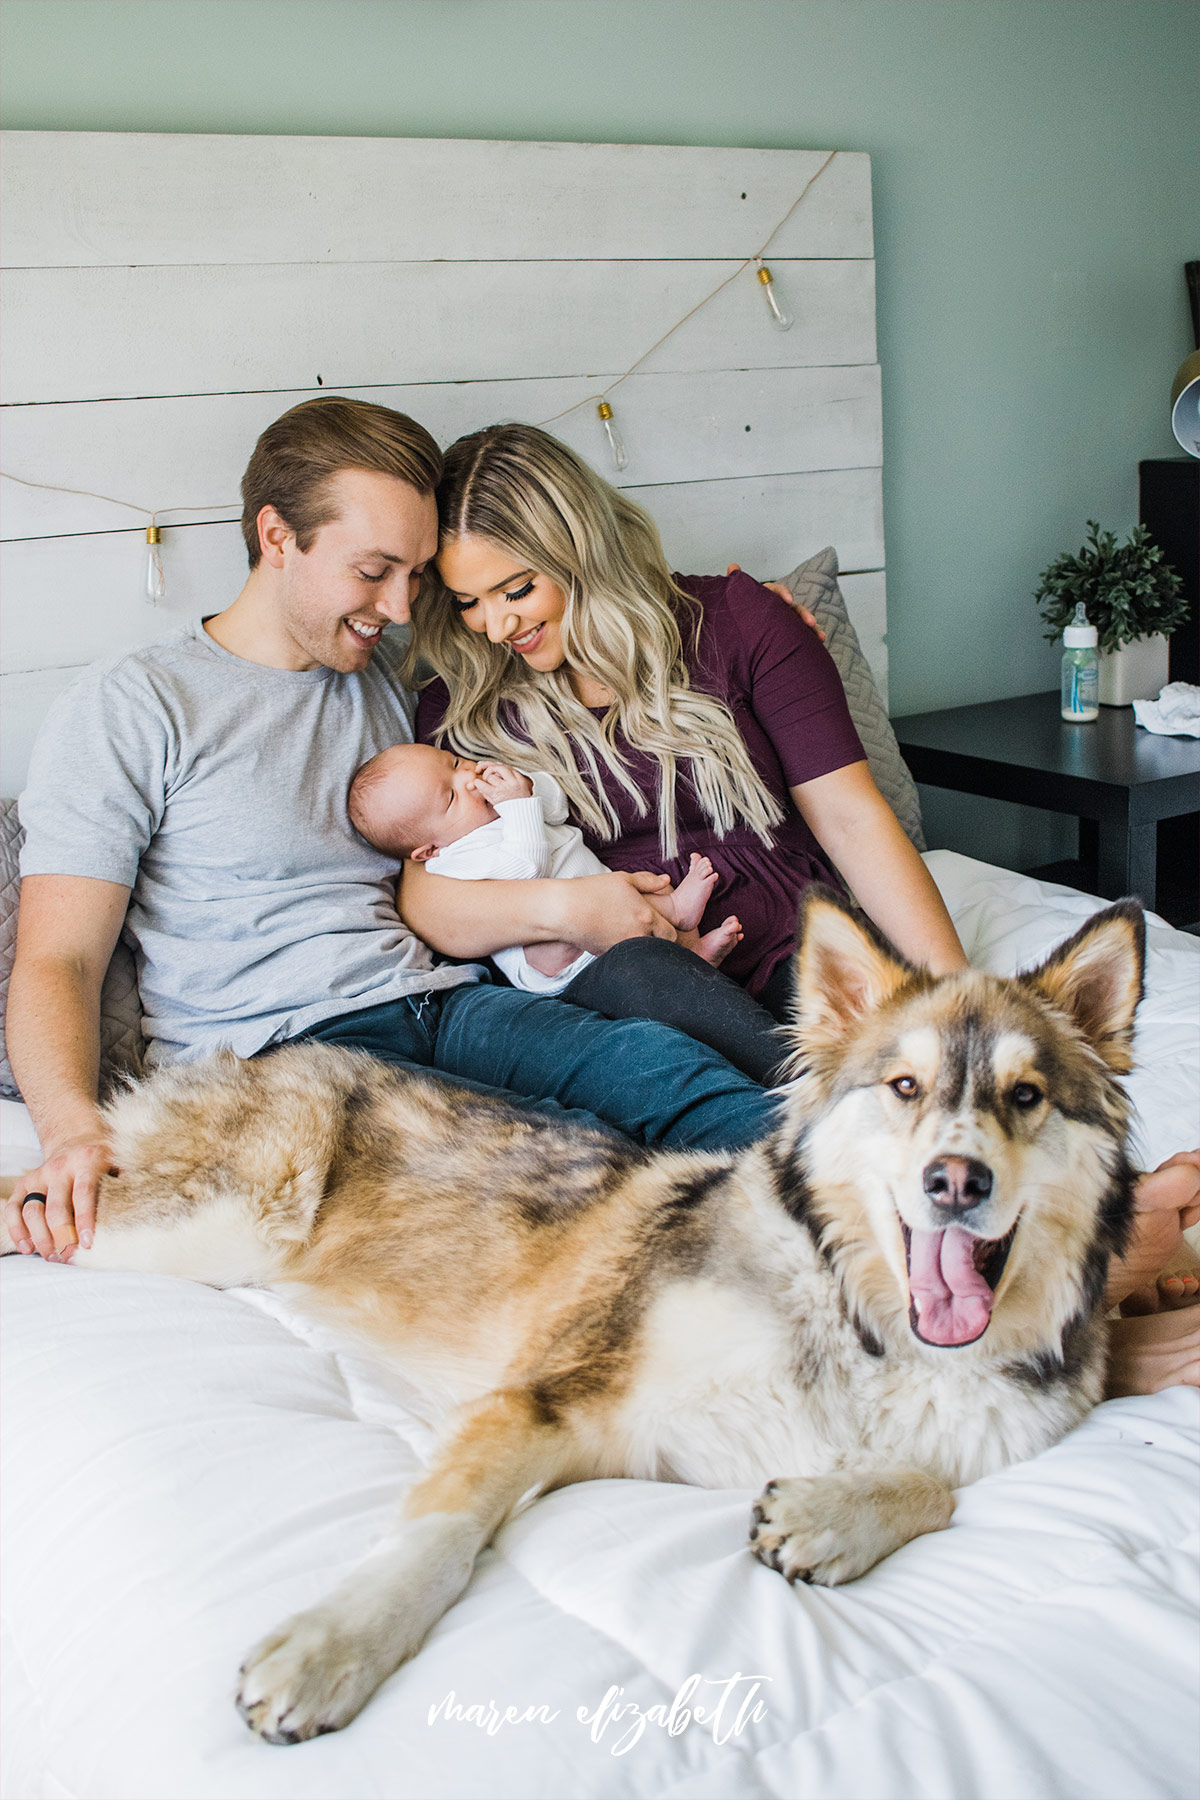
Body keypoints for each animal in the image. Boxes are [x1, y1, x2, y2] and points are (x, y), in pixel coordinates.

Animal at [0, 892, 1144, 1735]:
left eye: (1027, 1097)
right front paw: (335, 1644)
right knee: (28, 1200)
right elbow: (437, 1533)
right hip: (194, 1227)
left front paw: (831, 1515)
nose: (957, 1182)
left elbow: (935, 1486)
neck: (867, 1336)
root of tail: (277, 1053)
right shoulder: (544, 1404)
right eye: (905, 1087)